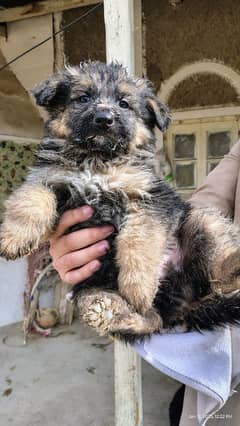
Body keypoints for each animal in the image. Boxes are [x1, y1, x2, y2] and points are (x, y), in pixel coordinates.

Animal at [1, 62, 240, 342]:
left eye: (124, 104)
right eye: (83, 98)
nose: (104, 119)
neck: (97, 159)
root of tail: (185, 305)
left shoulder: (151, 198)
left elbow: (139, 240)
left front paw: (138, 286)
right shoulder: (49, 178)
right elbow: (30, 197)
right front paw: (14, 238)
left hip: (200, 221)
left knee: (217, 273)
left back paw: (233, 265)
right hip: (87, 285)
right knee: (150, 319)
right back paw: (107, 310)